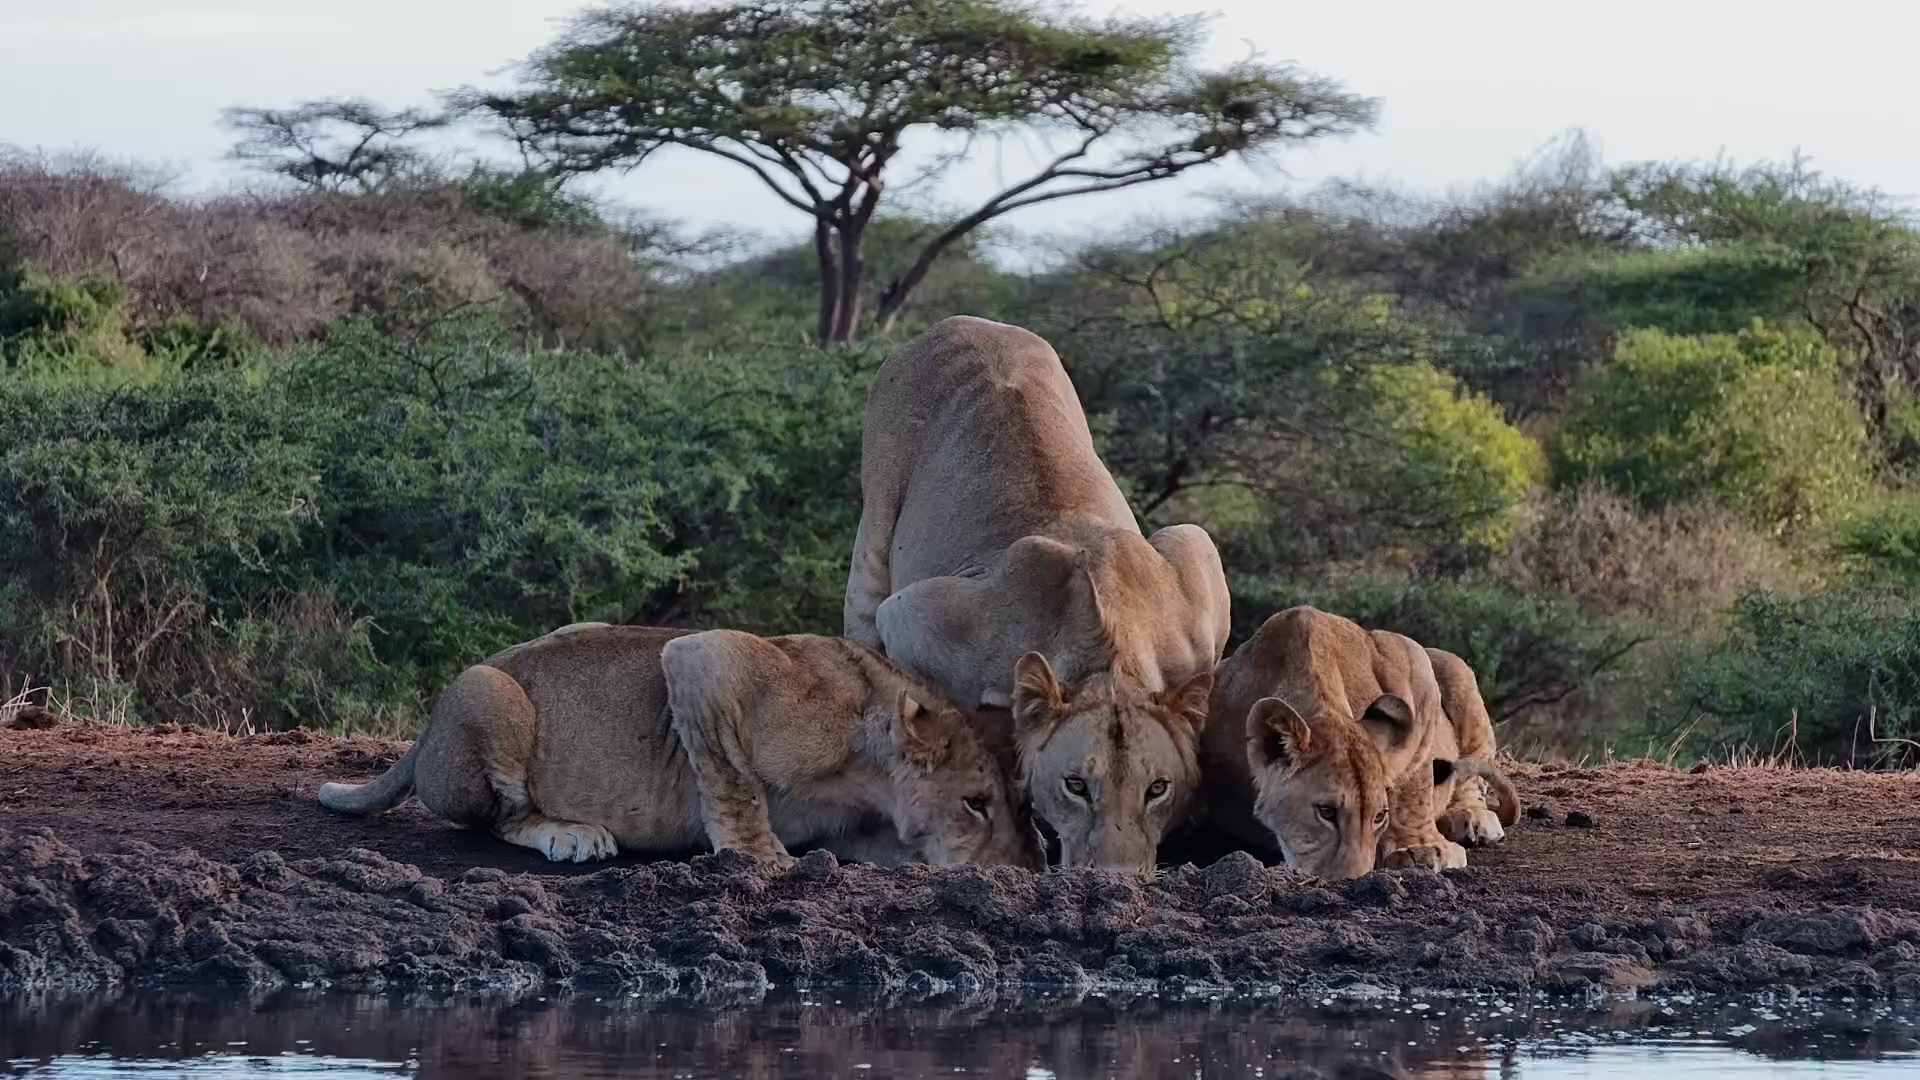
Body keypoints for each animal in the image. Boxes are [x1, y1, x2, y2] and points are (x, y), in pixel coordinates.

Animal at [317, 625, 1037, 869]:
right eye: (976, 803)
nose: (1024, 871)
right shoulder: (707, 659)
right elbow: (732, 778)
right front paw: (758, 854)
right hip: (487, 694)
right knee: (499, 819)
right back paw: (572, 835)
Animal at [844, 315, 1230, 873]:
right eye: (1076, 786)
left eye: (1157, 789)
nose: (1116, 879)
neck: (1106, 653)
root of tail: (960, 321)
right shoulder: (912, 617)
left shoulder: (1193, 555)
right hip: (874, 530)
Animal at [1198, 607, 1518, 879]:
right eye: (1326, 812)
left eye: (1379, 816)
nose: (1352, 879)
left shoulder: (1410, 658)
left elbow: (1416, 781)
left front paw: (1420, 846)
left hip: (1451, 665)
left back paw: (1472, 817)